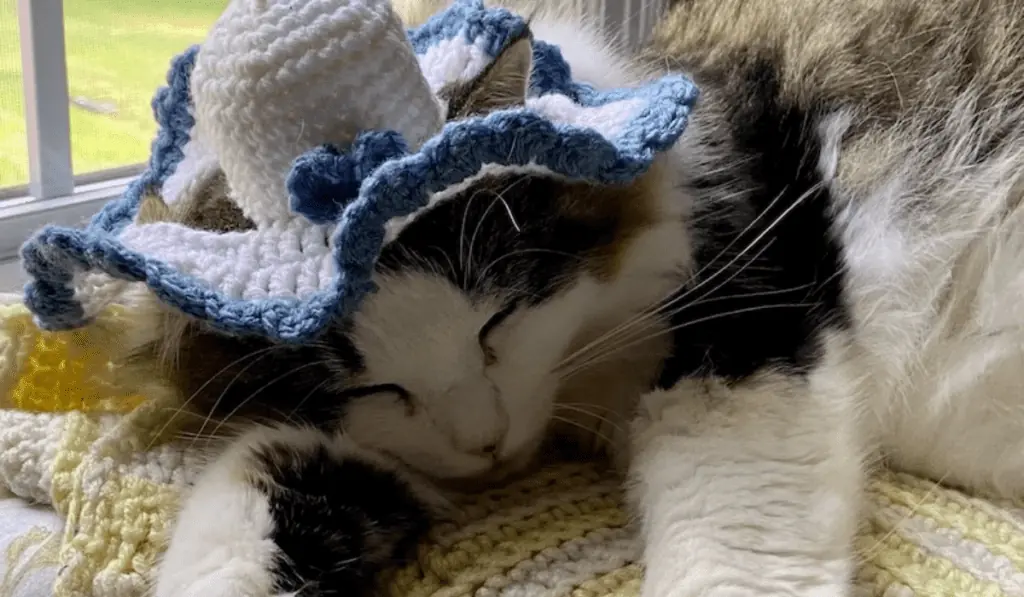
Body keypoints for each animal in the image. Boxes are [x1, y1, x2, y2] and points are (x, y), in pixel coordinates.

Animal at [146, 1, 1024, 597]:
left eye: (499, 313)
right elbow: (256, 471)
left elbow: (728, 544)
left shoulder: (742, 321)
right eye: (371, 384)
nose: (486, 441)